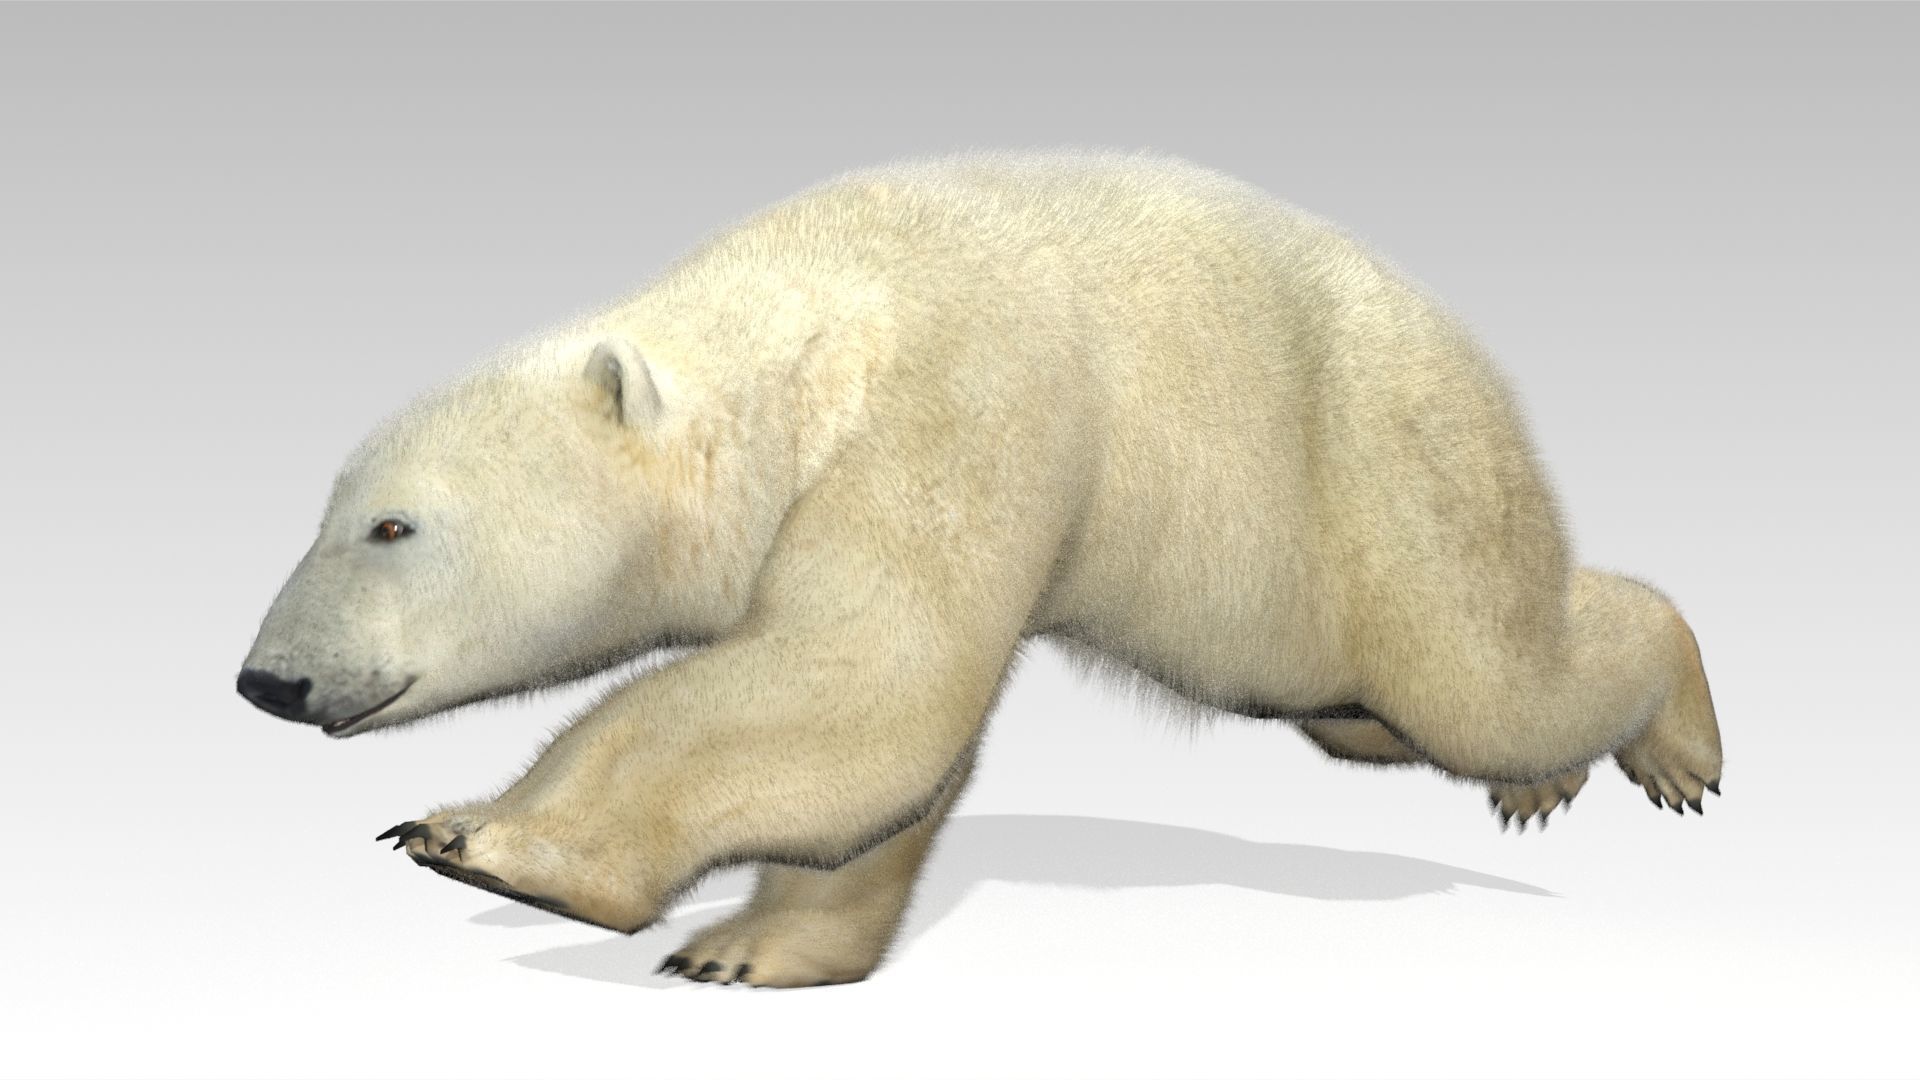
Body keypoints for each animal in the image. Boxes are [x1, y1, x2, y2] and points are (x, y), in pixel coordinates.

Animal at [237, 148, 1723, 988]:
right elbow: (880, 738)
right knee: (1358, 709)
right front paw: (748, 952)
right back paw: (1541, 781)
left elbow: (869, 677)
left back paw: (1668, 739)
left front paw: (483, 842)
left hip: (1356, 468)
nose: (267, 682)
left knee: (1475, 672)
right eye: (332, 509)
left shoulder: (959, 402)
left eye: (392, 527)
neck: (804, 325)